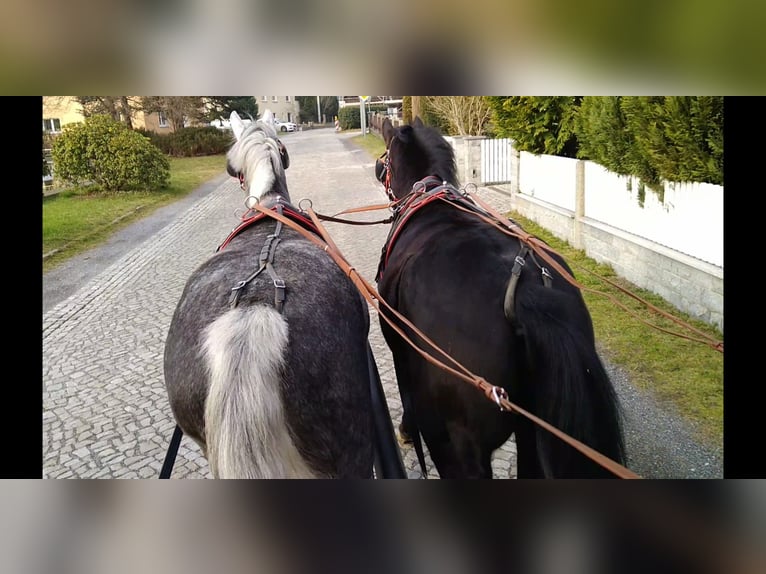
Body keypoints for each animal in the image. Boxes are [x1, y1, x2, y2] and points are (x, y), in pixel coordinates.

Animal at [376, 116, 628, 476]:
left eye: (385, 160)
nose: (379, 168)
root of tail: (524, 289)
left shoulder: (401, 354)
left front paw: (406, 432)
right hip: (531, 429)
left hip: (454, 441)